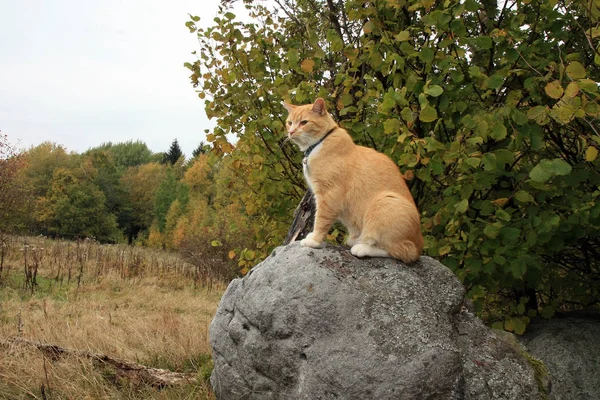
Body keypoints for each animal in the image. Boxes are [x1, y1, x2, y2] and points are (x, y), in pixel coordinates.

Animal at [284, 98, 424, 264]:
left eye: (304, 122)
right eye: (289, 123)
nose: (291, 132)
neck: (317, 145)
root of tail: (419, 243)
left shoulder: (329, 195)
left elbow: (321, 220)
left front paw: (314, 240)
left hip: (385, 202)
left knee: (401, 251)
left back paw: (362, 247)